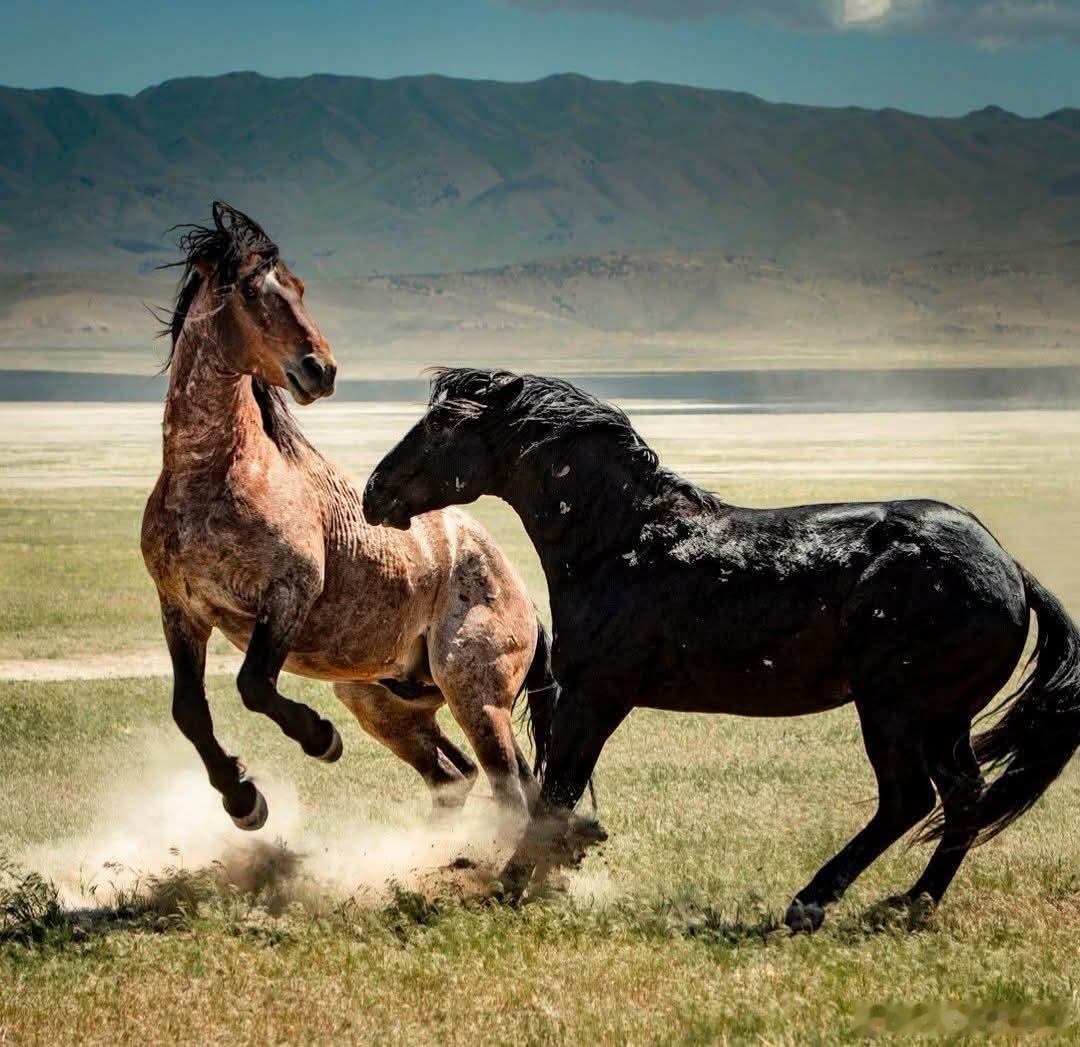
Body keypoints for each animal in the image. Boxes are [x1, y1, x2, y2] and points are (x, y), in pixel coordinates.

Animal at [141, 206, 555, 834]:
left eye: (299, 286)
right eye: (248, 290)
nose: (321, 369)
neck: (212, 477)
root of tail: (523, 597)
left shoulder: (290, 594)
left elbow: (253, 686)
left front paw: (319, 740)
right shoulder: (181, 610)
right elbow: (188, 710)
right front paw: (243, 800)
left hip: (474, 695)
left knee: (508, 786)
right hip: (382, 700)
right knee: (457, 776)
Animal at [363, 367, 1080, 931]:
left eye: (442, 425)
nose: (374, 492)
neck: (621, 541)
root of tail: (1010, 569)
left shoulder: (597, 695)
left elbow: (557, 793)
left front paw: (512, 883)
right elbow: (556, 792)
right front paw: (539, 876)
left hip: (896, 709)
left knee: (909, 799)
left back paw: (811, 904)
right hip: (942, 718)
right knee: (963, 795)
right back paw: (912, 902)